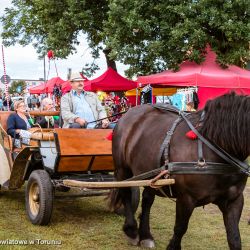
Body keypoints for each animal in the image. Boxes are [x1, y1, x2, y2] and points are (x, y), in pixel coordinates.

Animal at [110, 93, 250, 249]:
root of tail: (128, 114)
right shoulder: (186, 198)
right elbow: (180, 228)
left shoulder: (234, 200)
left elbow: (234, 238)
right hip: (123, 170)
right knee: (126, 194)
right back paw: (132, 230)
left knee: (147, 199)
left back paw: (146, 235)